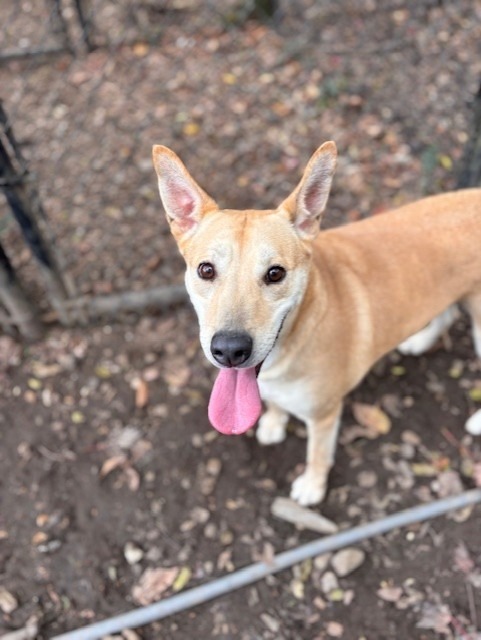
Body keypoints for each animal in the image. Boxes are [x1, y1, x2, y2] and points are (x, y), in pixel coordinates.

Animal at [152, 142, 480, 508]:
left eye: (275, 273)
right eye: (206, 270)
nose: (229, 350)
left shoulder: (325, 414)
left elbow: (318, 455)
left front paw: (312, 486)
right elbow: (276, 405)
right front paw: (274, 422)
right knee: (447, 314)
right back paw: (420, 341)